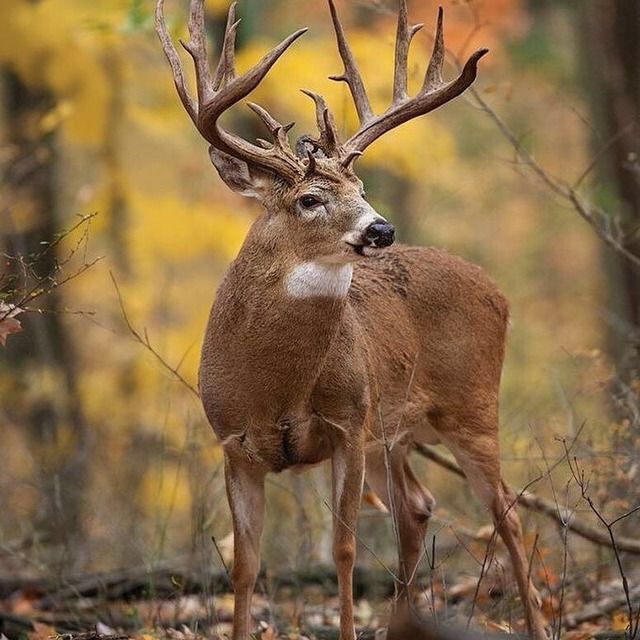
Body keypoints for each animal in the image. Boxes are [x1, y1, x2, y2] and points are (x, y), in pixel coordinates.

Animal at [156, 1, 552, 640]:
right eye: (310, 198)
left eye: (362, 186)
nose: (381, 228)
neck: (274, 387)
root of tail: (498, 291)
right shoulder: (233, 442)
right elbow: (245, 565)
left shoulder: (347, 424)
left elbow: (344, 550)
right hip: (397, 432)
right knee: (418, 509)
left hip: (471, 406)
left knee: (507, 515)